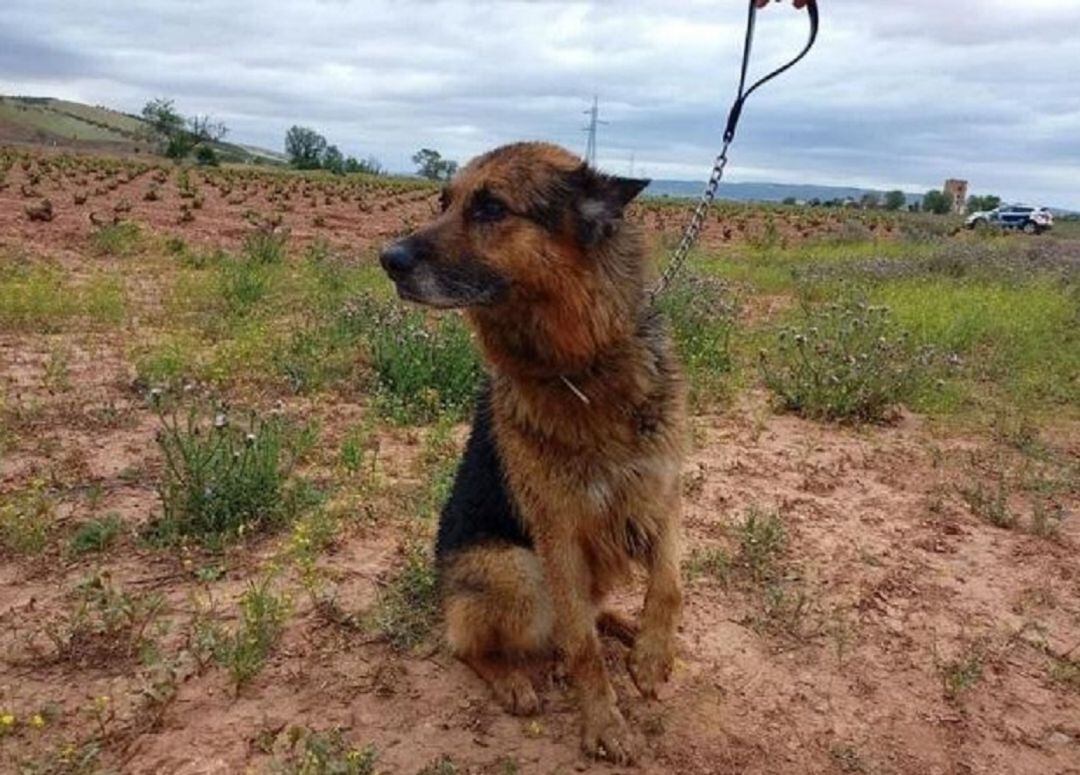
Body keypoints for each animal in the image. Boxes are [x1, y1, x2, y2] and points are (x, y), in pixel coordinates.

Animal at [380, 141, 682, 764]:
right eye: (444, 202)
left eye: (491, 207)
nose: (386, 258)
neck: (581, 367)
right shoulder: (557, 532)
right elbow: (583, 649)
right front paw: (603, 722)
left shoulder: (660, 493)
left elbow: (669, 582)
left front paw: (650, 655)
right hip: (518, 570)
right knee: (472, 645)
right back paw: (515, 678)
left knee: (586, 613)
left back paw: (620, 625)